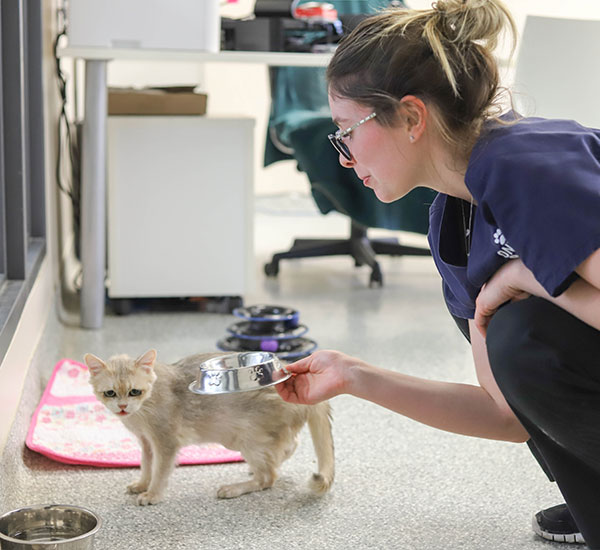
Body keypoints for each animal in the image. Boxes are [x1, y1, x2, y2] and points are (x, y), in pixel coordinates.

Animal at [84, 352, 336, 506]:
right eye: (110, 393)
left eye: (135, 391)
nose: (123, 407)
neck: (143, 410)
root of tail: (286, 370)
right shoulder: (146, 442)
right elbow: (146, 466)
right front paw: (141, 485)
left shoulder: (166, 442)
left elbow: (160, 472)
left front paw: (153, 494)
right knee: (288, 447)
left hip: (247, 440)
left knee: (269, 477)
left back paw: (234, 488)